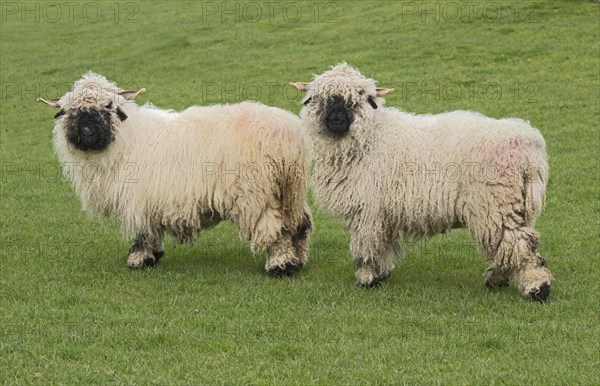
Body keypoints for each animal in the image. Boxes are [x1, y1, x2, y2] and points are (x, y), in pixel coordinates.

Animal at [39, 72, 312, 276]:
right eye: (69, 111)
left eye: (108, 106)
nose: (86, 131)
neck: (126, 140)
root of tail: (285, 133)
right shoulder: (149, 200)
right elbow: (150, 230)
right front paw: (153, 255)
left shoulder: (137, 198)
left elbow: (142, 232)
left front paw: (138, 260)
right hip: (290, 191)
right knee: (300, 224)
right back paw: (298, 260)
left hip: (256, 194)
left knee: (276, 231)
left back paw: (280, 266)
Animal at [290, 63, 552, 302]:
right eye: (318, 98)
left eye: (363, 97)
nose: (336, 119)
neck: (372, 137)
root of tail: (529, 146)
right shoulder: (382, 212)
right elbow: (383, 244)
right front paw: (381, 276)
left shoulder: (368, 210)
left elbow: (367, 247)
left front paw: (366, 279)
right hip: (514, 205)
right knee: (511, 245)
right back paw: (498, 279)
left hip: (494, 203)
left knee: (521, 245)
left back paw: (537, 289)